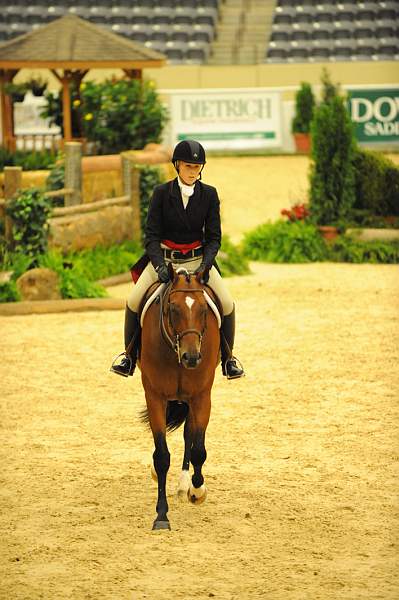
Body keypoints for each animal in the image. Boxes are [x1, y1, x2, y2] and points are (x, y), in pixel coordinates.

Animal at [140, 262, 222, 528]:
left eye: (204, 309)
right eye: (173, 309)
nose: (192, 357)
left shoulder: (201, 397)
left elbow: (198, 449)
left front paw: (197, 490)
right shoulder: (155, 396)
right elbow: (161, 456)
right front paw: (161, 515)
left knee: (189, 435)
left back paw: (186, 484)